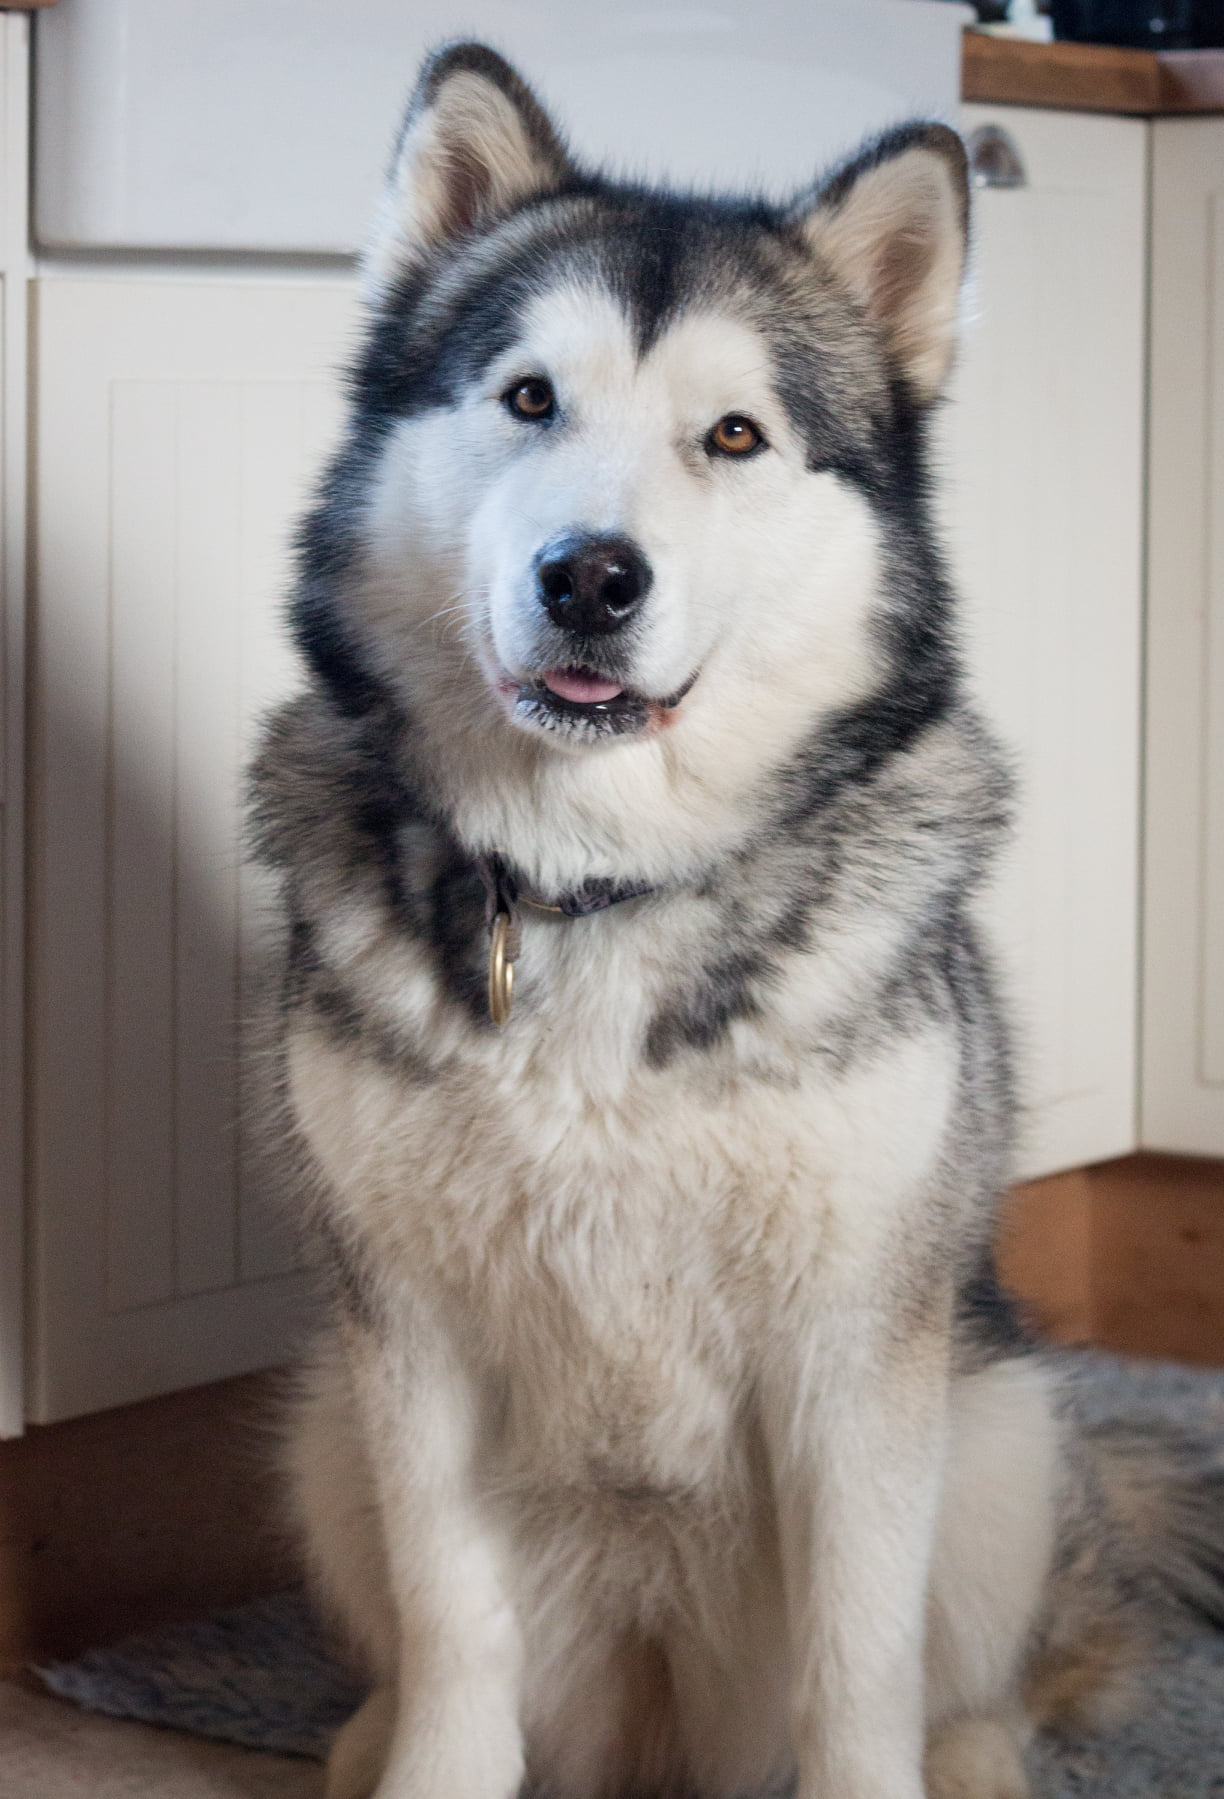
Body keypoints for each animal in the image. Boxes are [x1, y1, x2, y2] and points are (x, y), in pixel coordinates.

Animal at [248, 38, 1224, 1799]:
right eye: (528, 397)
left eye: (735, 434)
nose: (590, 575)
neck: (597, 887)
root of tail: (659, 1738)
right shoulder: (408, 1341)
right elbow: (454, 1634)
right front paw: (425, 1755)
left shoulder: (857, 1357)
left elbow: (860, 1667)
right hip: (321, 1422)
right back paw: (360, 1739)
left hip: (1000, 1431)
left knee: (1008, 1668)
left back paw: (981, 1754)